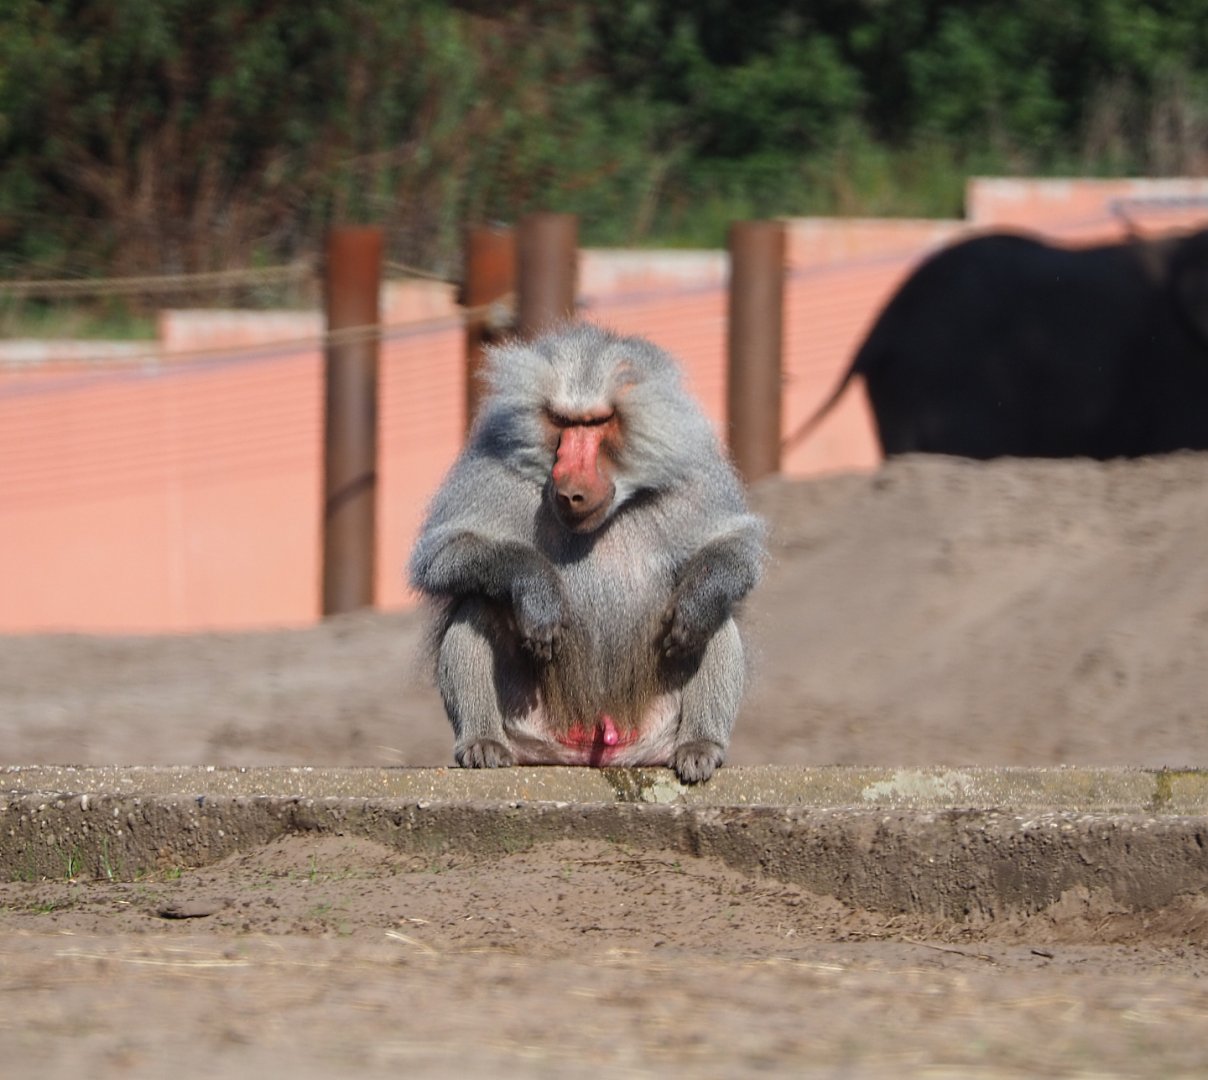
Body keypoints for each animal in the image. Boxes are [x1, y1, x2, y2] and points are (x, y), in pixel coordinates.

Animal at [408, 322, 766, 783]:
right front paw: (537, 593)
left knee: (714, 619)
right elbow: (442, 553)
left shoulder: (695, 472)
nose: (571, 490)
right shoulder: (491, 462)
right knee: (478, 601)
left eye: (598, 422)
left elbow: (731, 546)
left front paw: (697, 605)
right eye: (562, 422)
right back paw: (482, 743)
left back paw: (699, 746)